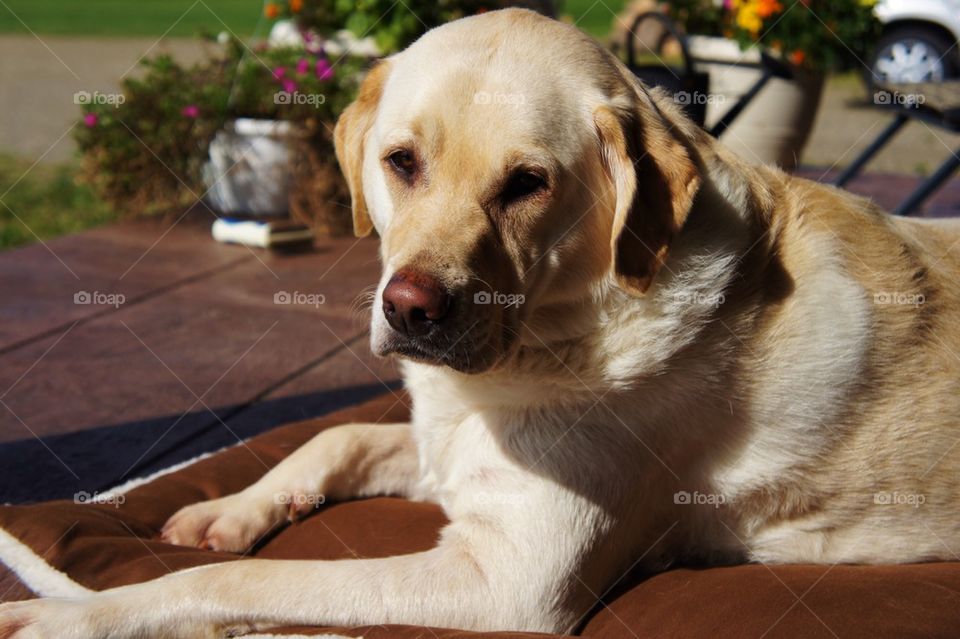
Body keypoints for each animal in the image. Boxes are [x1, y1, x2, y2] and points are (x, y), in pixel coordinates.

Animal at [1, 6, 960, 639]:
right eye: (401, 162)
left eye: (527, 184)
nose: (411, 308)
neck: (549, 340)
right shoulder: (446, 448)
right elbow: (336, 434)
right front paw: (233, 507)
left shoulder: (507, 578)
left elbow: (242, 581)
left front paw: (79, 616)